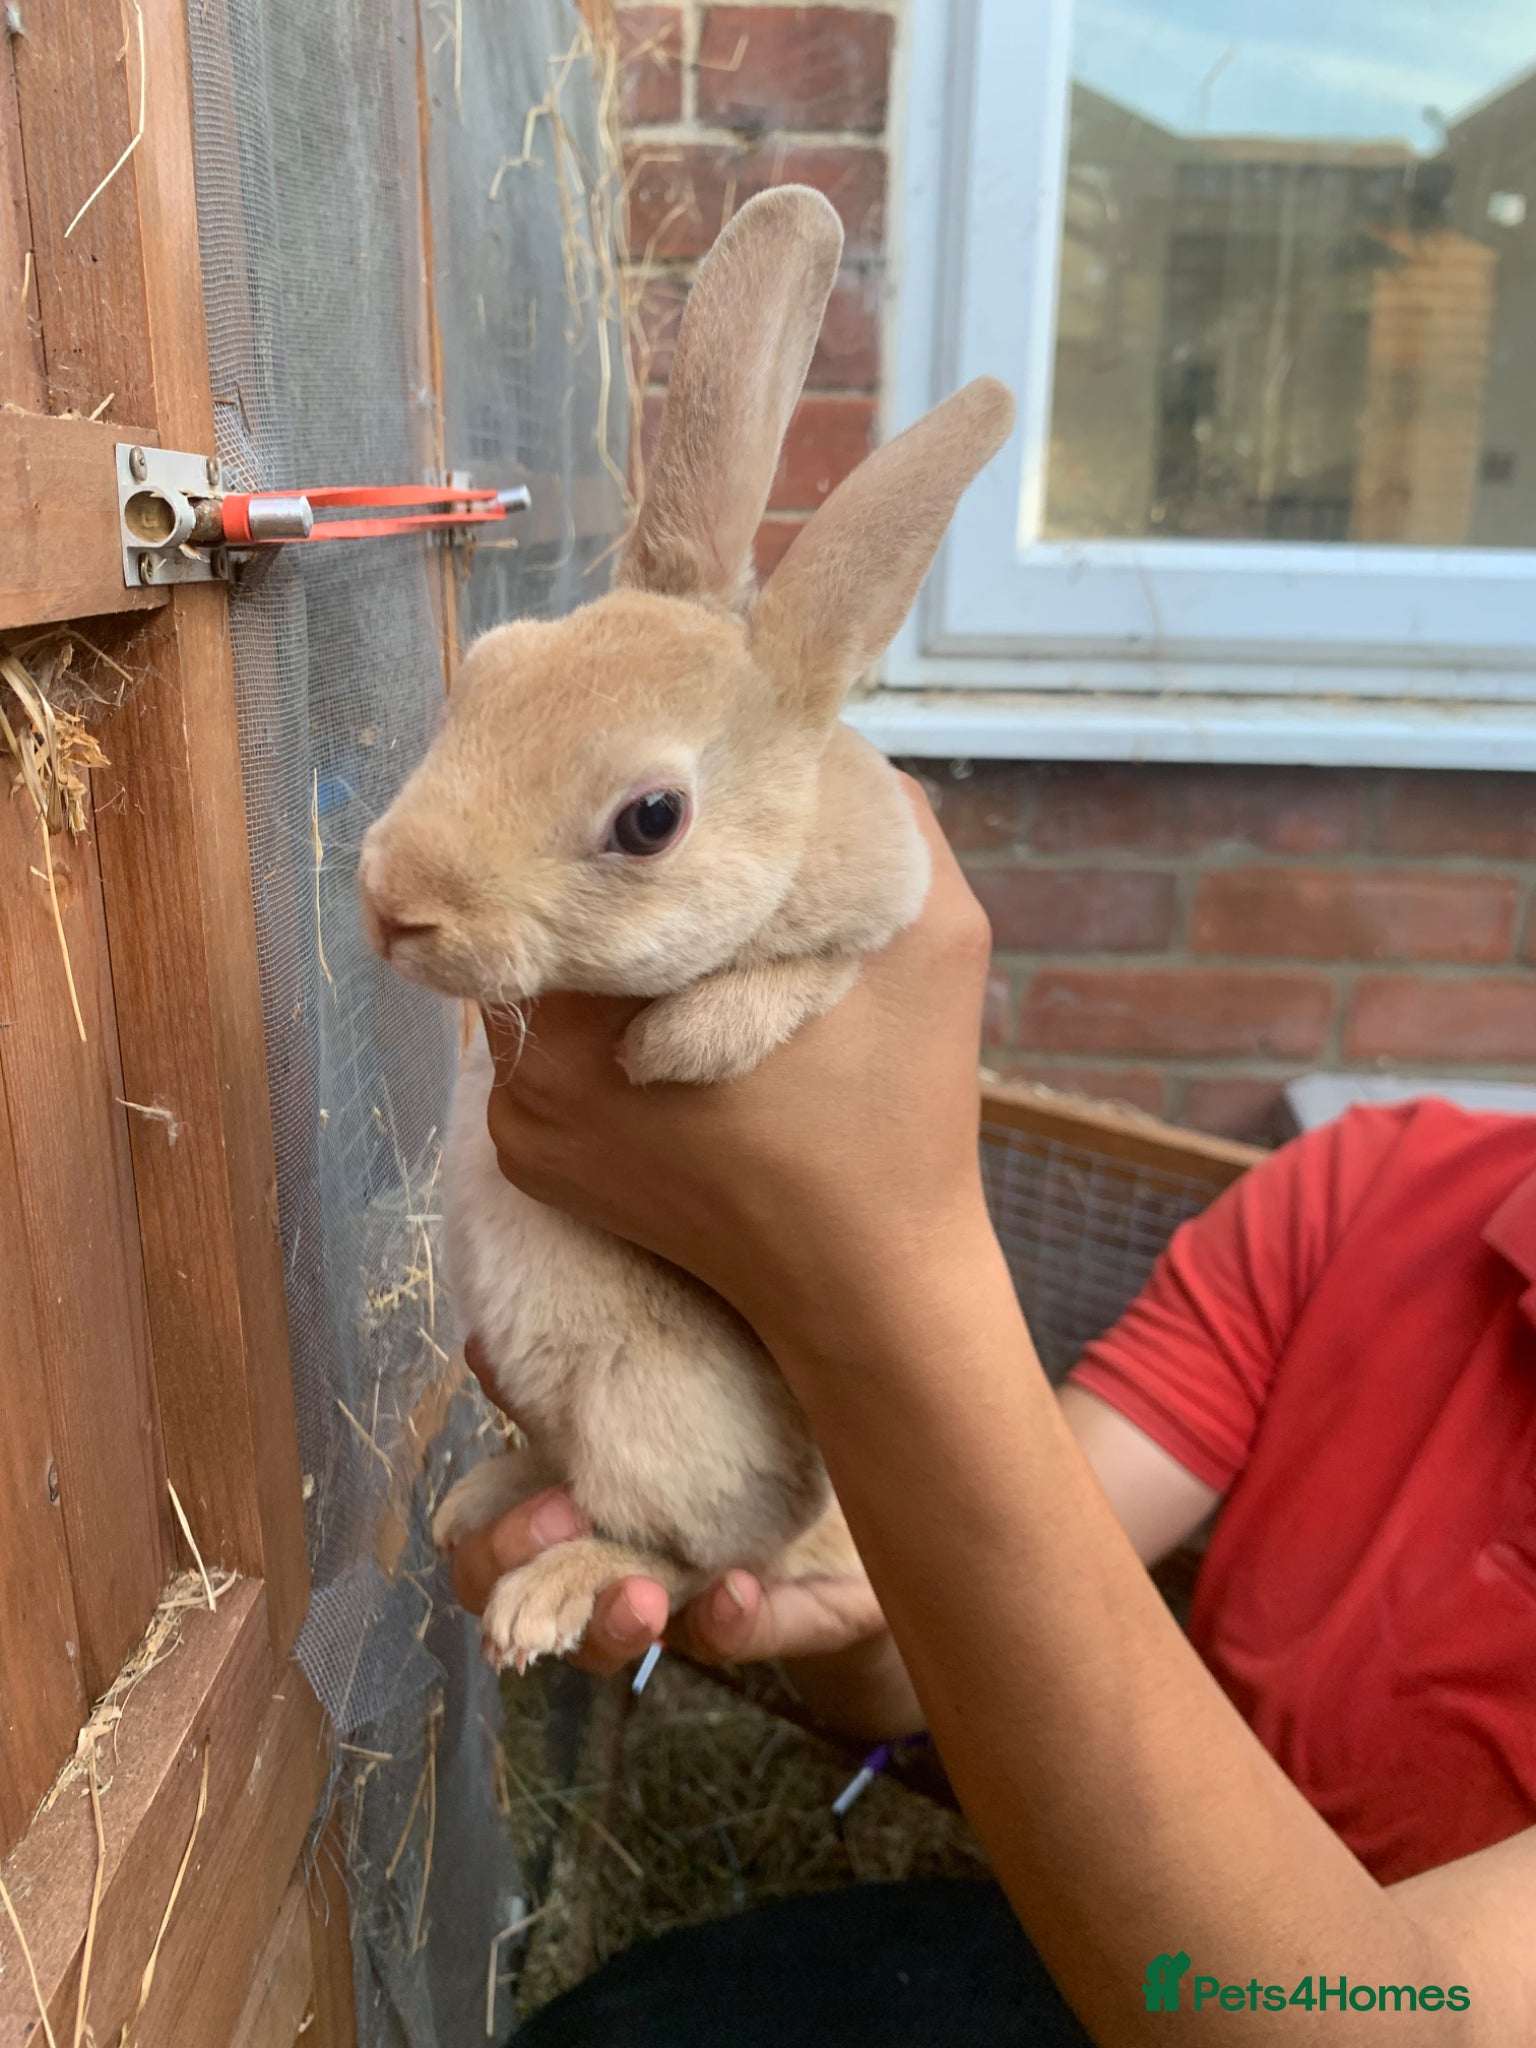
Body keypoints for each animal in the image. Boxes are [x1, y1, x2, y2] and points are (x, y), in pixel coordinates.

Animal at [357, 185, 1015, 1674]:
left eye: (652, 817)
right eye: (491, 670)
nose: (388, 899)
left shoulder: (872, 923)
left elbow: (797, 974)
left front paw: (672, 1050)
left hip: (658, 1420)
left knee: (684, 1549)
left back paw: (546, 1590)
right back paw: (480, 1498)